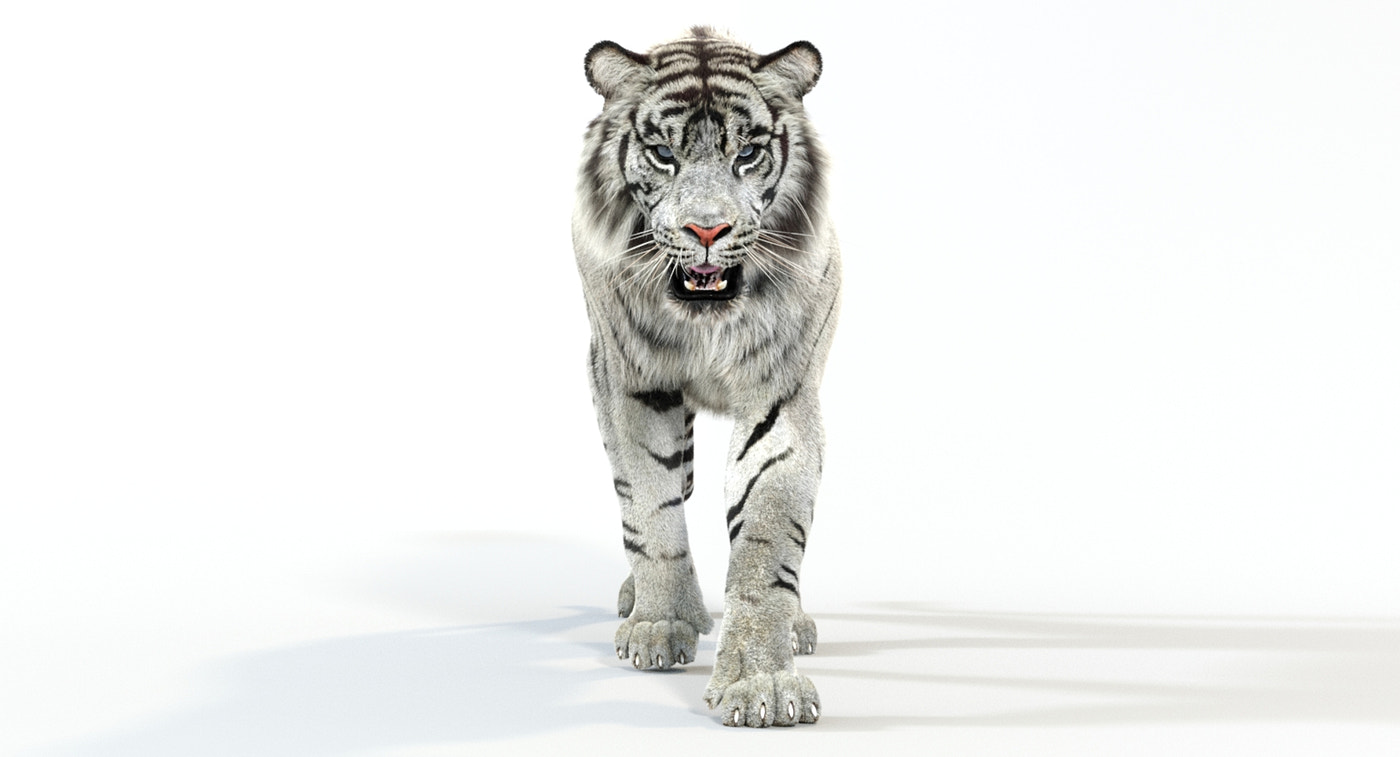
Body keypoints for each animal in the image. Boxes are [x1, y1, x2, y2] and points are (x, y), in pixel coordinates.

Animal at [572, 27, 840, 728]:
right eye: (663, 154)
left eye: (746, 153)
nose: (708, 229)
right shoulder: (633, 384)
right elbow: (651, 507)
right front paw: (661, 626)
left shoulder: (781, 395)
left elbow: (768, 538)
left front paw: (762, 683)